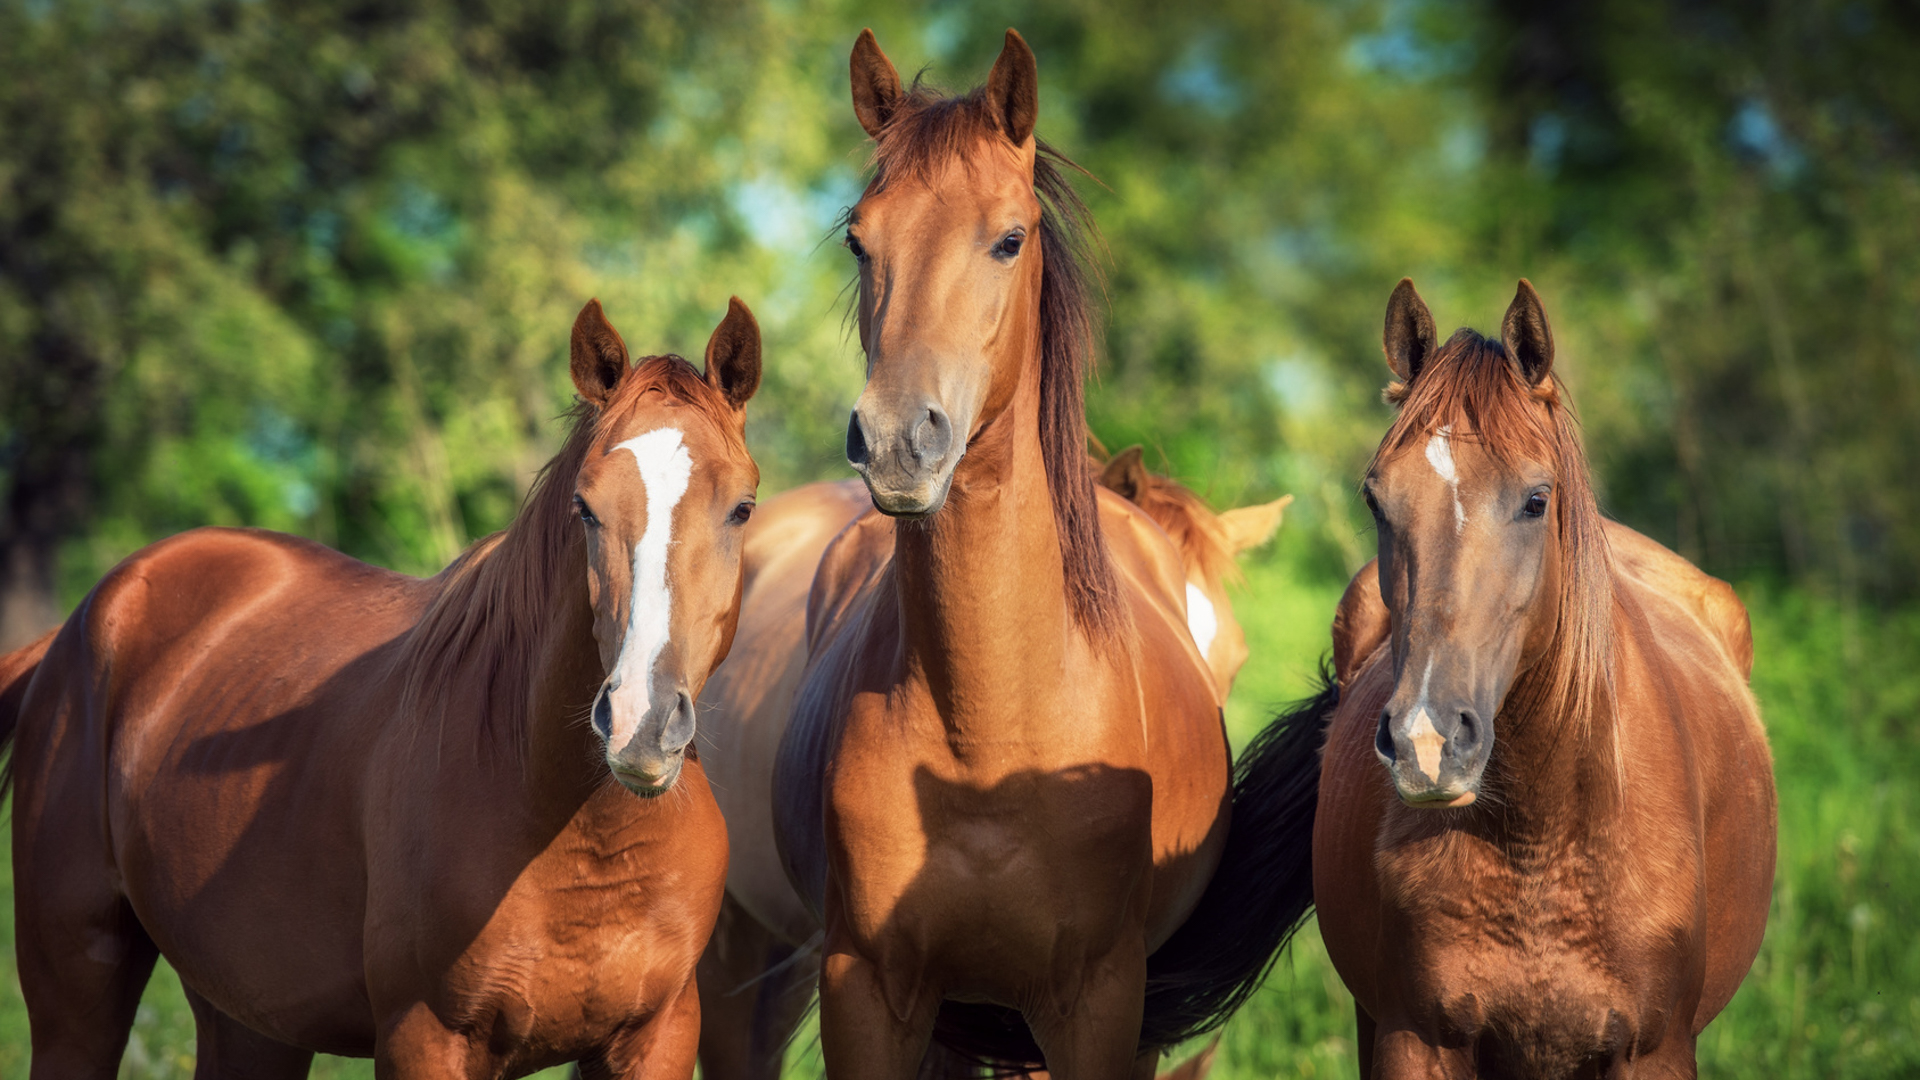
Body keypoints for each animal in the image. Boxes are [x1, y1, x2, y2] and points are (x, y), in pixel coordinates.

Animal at [5, 295, 771, 1076]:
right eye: (585, 507)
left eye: (742, 507)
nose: (641, 725)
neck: (581, 833)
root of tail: (90, 615)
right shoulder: (423, 1037)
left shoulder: (657, 1037)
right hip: (77, 994)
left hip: (251, 1019)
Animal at [1313, 278, 1774, 1076]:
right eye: (1376, 499)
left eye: (1536, 499)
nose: (1427, 741)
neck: (1542, 836)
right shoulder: (1414, 1039)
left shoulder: (1656, 1050)